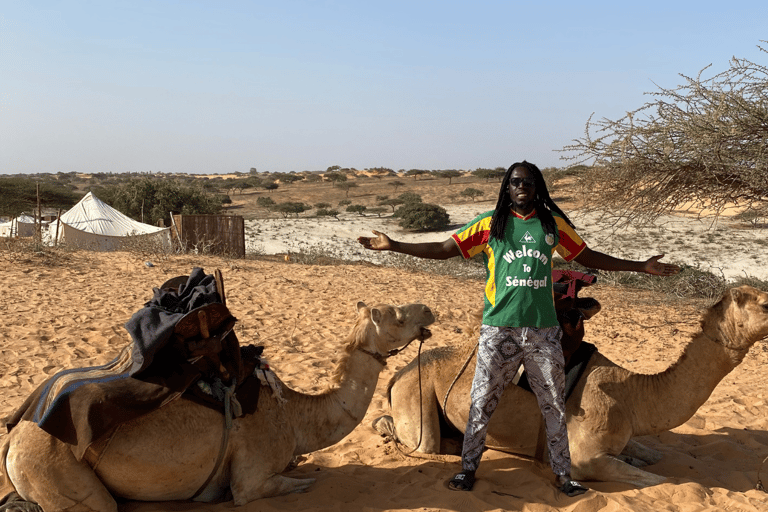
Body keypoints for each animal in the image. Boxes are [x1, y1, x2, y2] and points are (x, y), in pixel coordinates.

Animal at [0, 301, 435, 511]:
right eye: (397, 317)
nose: (429, 310)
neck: (295, 417)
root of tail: (15, 437)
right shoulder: (252, 480)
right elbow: (297, 484)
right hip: (62, 474)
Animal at [373, 285, 768, 488]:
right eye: (764, 303)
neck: (632, 395)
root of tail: (399, 372)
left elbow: (654, 456)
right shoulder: (583, 458)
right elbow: (674, 483)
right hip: (416, 396)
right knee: (415, 439)